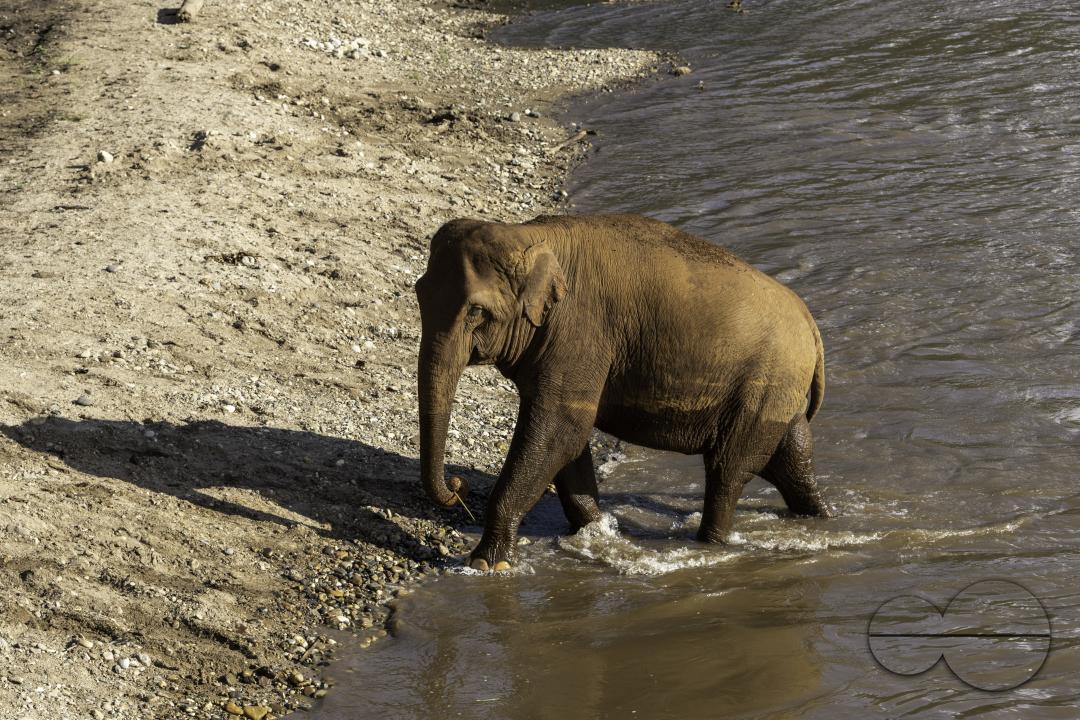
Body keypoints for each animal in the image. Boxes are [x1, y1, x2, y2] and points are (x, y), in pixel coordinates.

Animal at [414, 214, 831, 572]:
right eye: (418, 294)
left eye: (475, 312)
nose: (458, 486)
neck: (528, 234)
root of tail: (811, 326)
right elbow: (567, 441)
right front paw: (598, 530)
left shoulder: (580, 332)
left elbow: (560, 431)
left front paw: (486, 564)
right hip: (775, 391)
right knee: (792, 454)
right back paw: (821, 517)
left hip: (765, 383)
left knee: (729, 469)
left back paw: (709, 544)